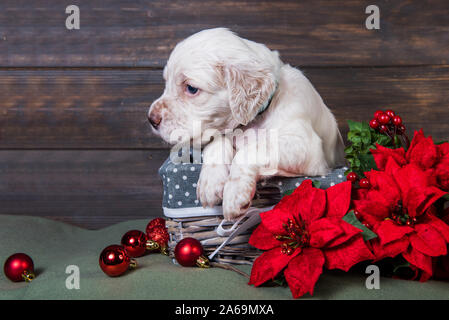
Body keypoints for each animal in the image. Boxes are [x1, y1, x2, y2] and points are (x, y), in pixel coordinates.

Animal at [149, 28, 344, 220]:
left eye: (191, 88)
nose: (151, 119)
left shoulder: (305, 146)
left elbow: (252, 149)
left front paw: (235, 193)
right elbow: (217, 141)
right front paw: (210, 182)